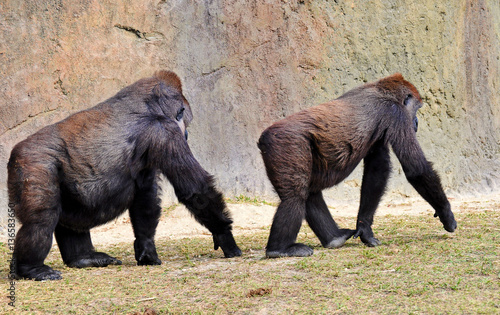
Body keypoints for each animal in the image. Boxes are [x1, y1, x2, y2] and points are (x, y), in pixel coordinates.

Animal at [7, 69, 242, 282]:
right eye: (183, 120)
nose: (186, 134)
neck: (149, 104)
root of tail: (14, 152)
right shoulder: (164, 131)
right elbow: (195, 190)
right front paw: (224, 234)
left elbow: (145, 196)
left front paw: (146, 247)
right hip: (33, 164)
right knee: (41, 218)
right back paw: (32, 268)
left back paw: (83, 258)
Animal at [258, 74, 458, 260]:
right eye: (416, 109)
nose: (416, 123)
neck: (381, 90)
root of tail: (262, 138)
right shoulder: (397, 114)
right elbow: (416, 169)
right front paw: (446, 213)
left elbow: (377, 170)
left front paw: (364, 228)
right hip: (285, 145)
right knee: (294, 196)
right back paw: (279, 249)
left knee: (309, 192)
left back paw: (334, 238)